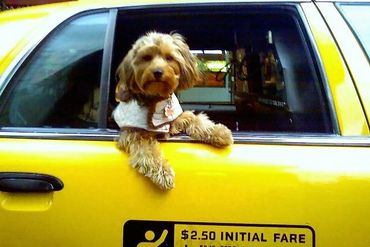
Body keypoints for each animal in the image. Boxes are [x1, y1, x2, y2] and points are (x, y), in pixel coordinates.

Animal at [114, 31, 233, 190]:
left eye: (169, 57)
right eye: (146, 57)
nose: (157, 71)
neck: (157, 99)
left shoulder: (175, 119)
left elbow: (194, 118)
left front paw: (219, 132)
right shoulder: (132, 133)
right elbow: (148, 149)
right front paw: (163, 172)